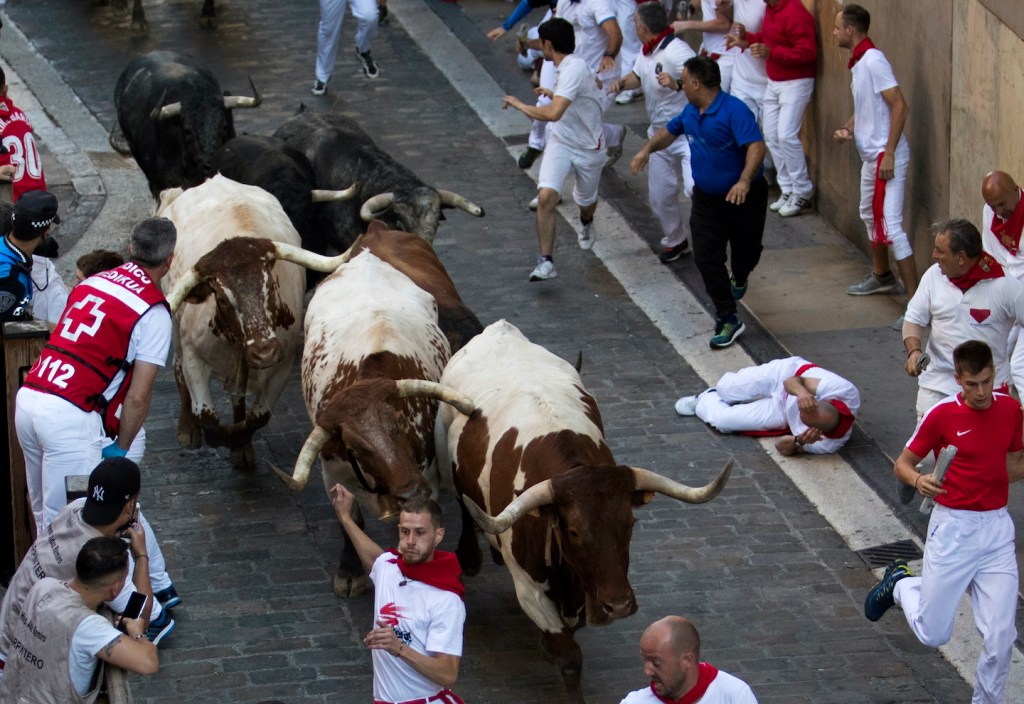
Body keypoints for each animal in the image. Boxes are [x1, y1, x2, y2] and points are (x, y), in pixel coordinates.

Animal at [157, 172, 354, 466]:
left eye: (270, 285)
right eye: (222, 299)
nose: (264, 353)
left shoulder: (282, 365)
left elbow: (257, 418)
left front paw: (241, 446)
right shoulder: (195, 358)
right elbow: (209, 419)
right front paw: (219, 436)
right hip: (178, 334)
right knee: (178, 368)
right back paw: (187, 430)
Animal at [272, 250, 479, 597]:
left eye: (400, 422)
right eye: (356, 448)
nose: (410, 492)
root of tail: (366, 257)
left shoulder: (428, 476)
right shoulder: (334, 473)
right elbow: (351, 519)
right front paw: (349, 570)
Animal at [436, 321, 733, 704]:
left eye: (630, 524)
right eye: (573, 531)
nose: (618, 605)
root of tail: (500, 329)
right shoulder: (530, 591)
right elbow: (570, 657)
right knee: (462, 503)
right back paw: (471, 556)